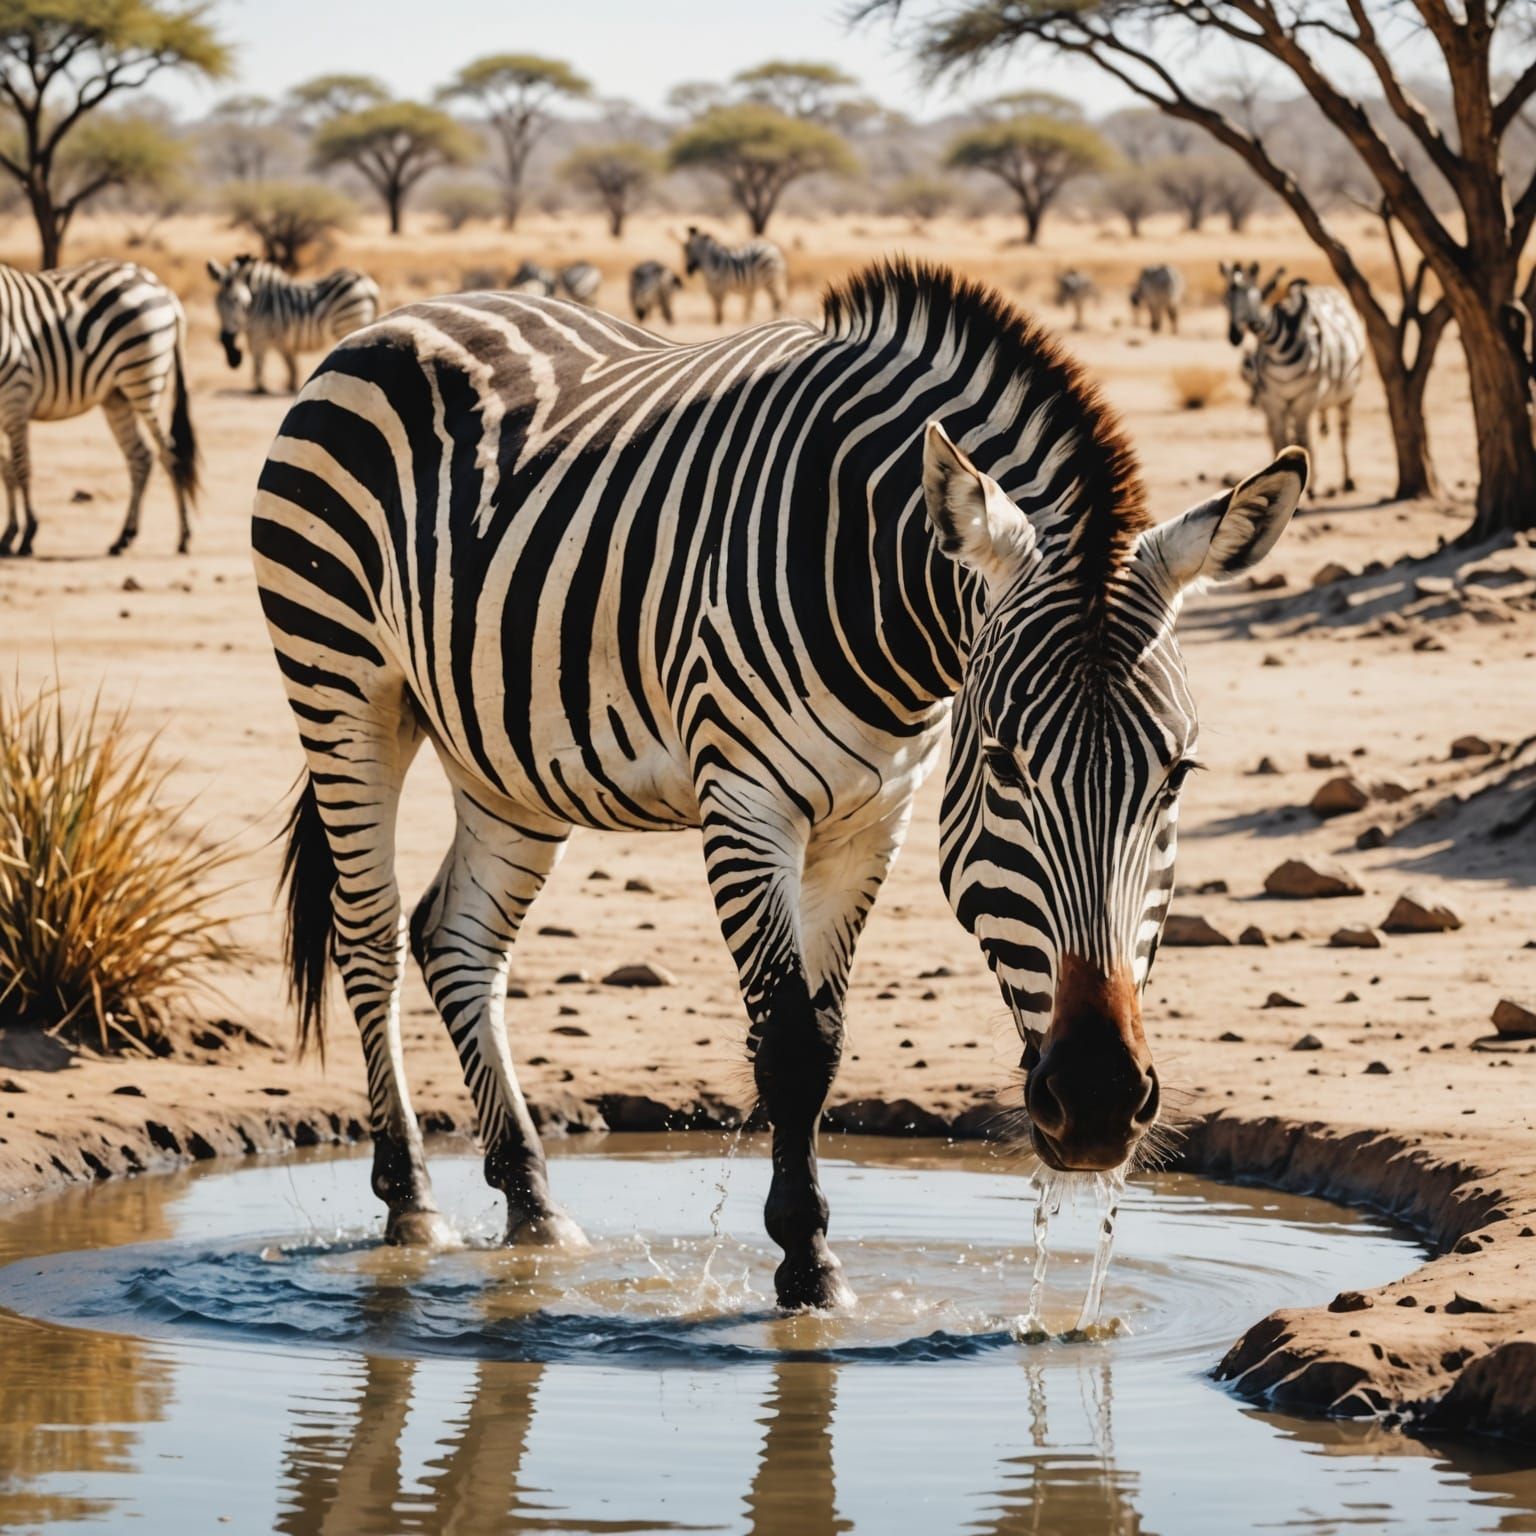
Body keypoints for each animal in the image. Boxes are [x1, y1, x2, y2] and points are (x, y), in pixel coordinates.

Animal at [0, 259, 197, 558]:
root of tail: (159, 285)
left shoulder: (15, 399)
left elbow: (20, 469)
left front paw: (28, 534)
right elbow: (7, 471)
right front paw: (9, 535)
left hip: (142, 381)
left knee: (169, 454)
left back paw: (183, 536)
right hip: (116, 397)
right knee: (140, 457)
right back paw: (124, 537)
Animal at [207, 255, 380, 395]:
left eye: (238, 300)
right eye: (216, 304)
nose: (233, 359)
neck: (257, 303)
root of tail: (365, 281)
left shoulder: (260, 336)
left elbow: (258, 364)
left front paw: (260, 389)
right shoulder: (281, 340)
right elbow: (291, 365)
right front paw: (291, 386)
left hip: (347, 323)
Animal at [255, 260, 1304, 1309]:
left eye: (1177, 775)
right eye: (1005, 763)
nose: (1095, 1106)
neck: (883, 595)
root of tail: (407, 313)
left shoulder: (873, 817)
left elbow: (828, 1038)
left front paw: (808, 1248)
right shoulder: (746, 804)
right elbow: (791, 1046)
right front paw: (807, 1264)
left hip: (506, 751)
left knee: (457, 939)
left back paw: (533, 1205)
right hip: (342, 678)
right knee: (370, 935)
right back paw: (411, 1199)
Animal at [1221, 260, 1365, 492]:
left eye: (1256, 299)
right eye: (1225, 299)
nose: (1234, 336)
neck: (1277, 347)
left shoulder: (1305, 399)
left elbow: (1303, 441)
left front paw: (1311, 488)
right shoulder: (1272, 400)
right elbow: (1280, 442)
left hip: (1346, 394)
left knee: (1343, 433)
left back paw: (1347, 479)